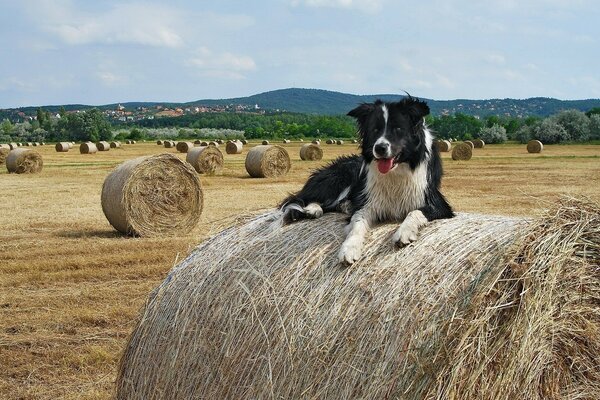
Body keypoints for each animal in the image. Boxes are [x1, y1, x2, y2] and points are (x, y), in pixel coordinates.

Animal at [282, 97, 454, 266]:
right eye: (375, 130)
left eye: (398, 129)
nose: (379, 148)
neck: (396, 171)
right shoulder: (368, 202)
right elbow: (357, 222)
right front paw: (349, 248)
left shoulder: (438, 204)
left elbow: (415, 212)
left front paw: (404, 232)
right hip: (341, 176)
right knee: (302, 199)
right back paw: (313, 209)